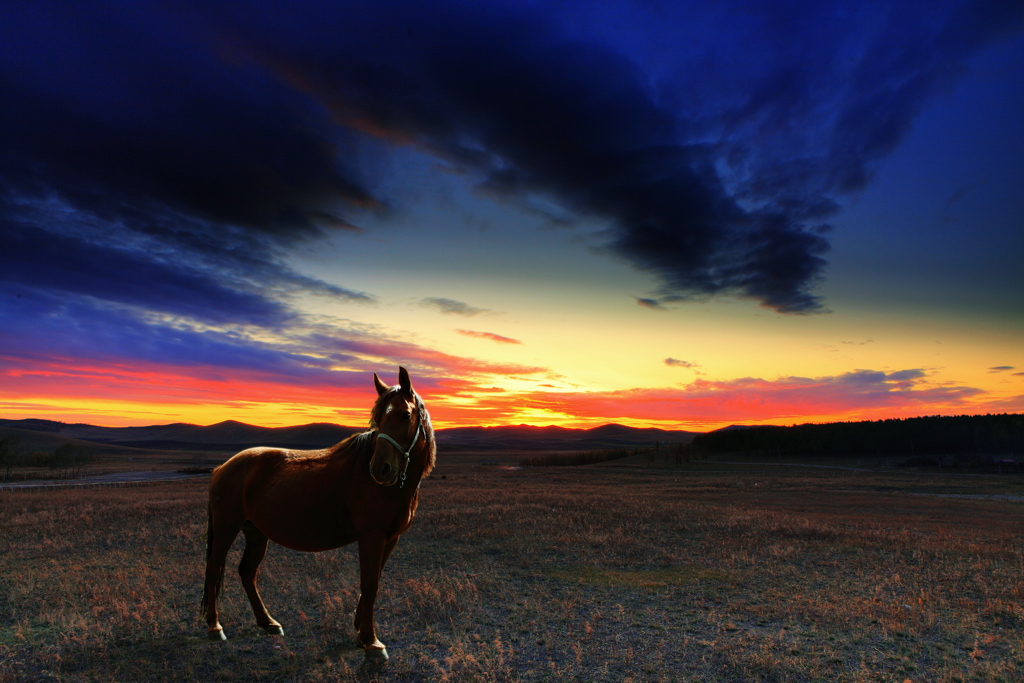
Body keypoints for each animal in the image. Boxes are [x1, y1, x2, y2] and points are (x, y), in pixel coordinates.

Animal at [200, 368, 436, 663]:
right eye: (378, 418)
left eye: (405, 415)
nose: (380, 469)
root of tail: (222, 467)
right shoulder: (372, 536)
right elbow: (370, 585)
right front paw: (372, 643)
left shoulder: (390, 538)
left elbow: (373, 583)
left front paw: (360, 631)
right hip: (226, 528)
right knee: (213, 569)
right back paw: (215, 627)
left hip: (256, 533)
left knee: (246, 572)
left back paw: (268, 623)